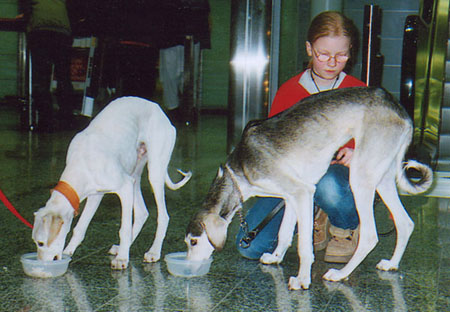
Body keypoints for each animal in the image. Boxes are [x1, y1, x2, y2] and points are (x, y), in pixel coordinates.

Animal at [32, 97, 192, 268]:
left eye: (41, 243)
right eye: (36, 243)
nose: (40, 266)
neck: (81, 162)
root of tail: (157, 108)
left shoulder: (124, 187)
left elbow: (124, 229)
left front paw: (122, 259)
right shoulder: (96, 194)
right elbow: (80, 227)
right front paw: (69, 251)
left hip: (154, 172)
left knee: (163, 216)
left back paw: (153, 252)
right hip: (134, 174)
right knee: (142, 212)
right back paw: (123, 247)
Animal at [185, 87, 432, 290]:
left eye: (193, 242)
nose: (188, 268)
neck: (239, 172)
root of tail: (398, 107)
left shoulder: (302, 193)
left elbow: (304, 246)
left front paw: (303, 280)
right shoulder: (291, 197)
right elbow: (284, 233)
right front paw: (276, 257)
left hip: (361, 177)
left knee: (370, 235)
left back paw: (340, 274)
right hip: (382, 178)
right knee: (405, 222)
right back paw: (391, 264)